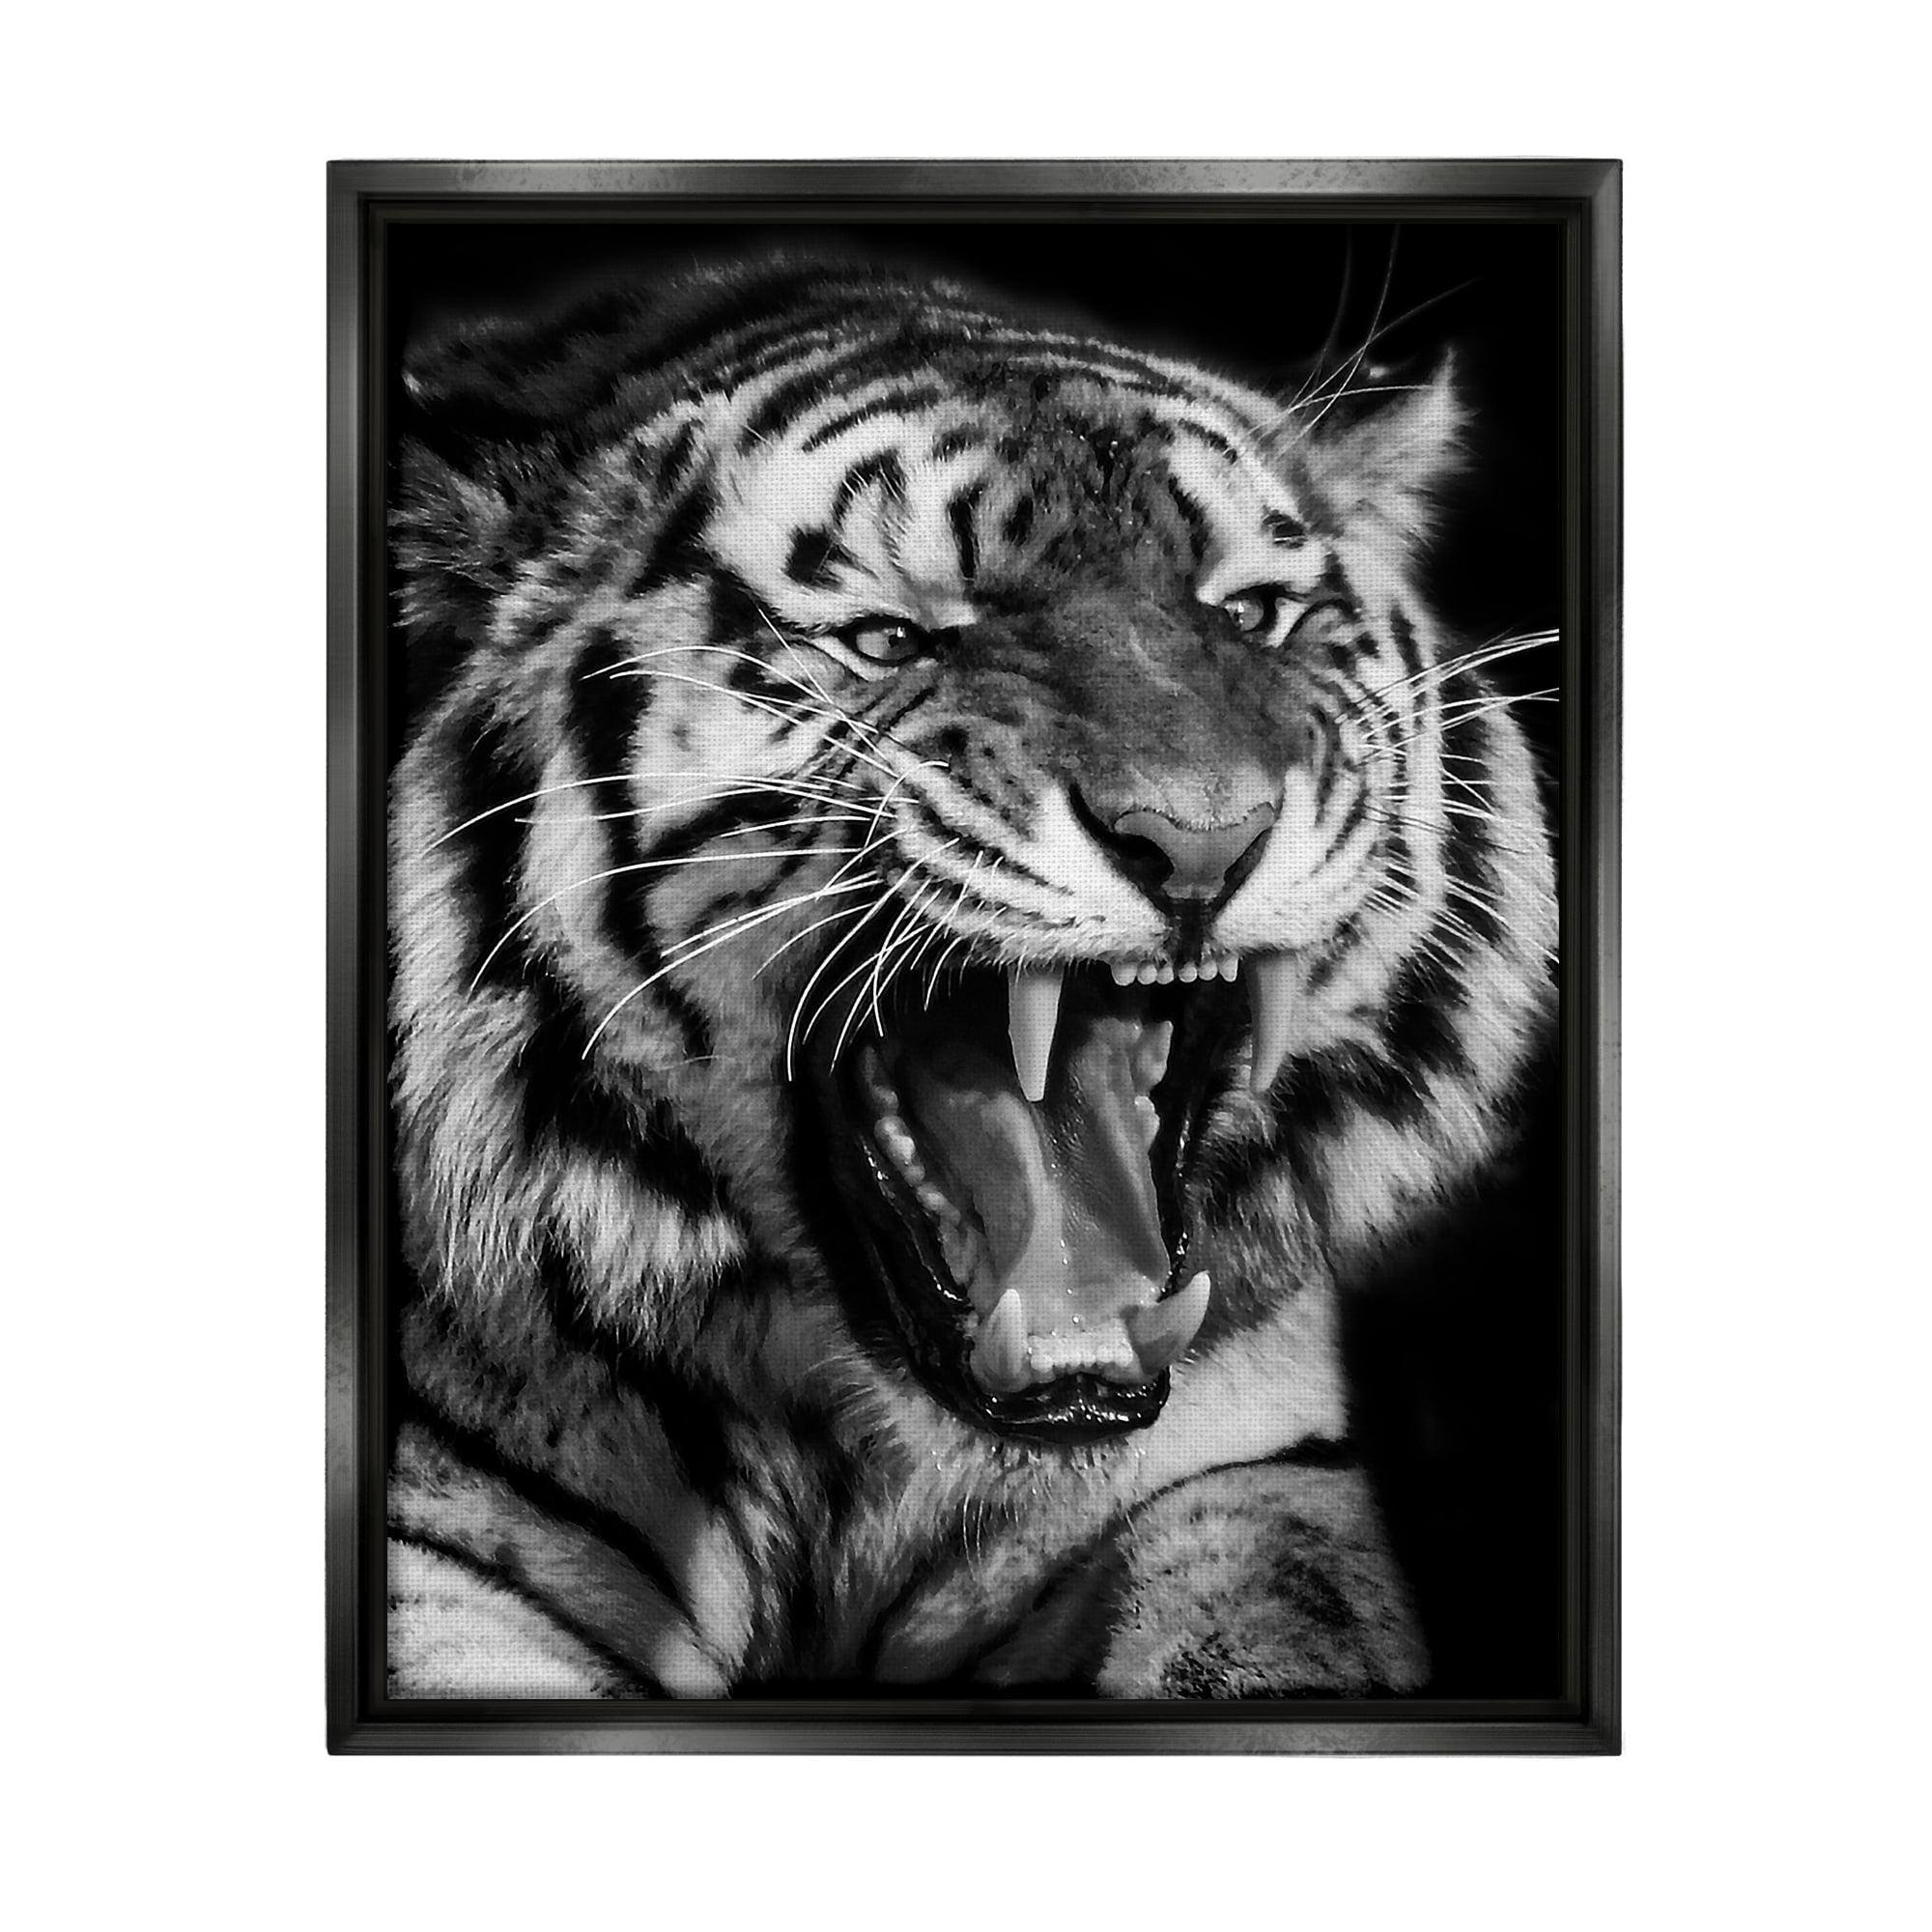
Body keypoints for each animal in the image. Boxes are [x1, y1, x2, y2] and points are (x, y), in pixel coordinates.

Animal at [385, 256, 1557, 1699]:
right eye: (892, 640)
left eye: (1250, 616)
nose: (1201, 838)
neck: (846, 1454)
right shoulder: (439, 1551)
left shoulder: (1248, 1475)